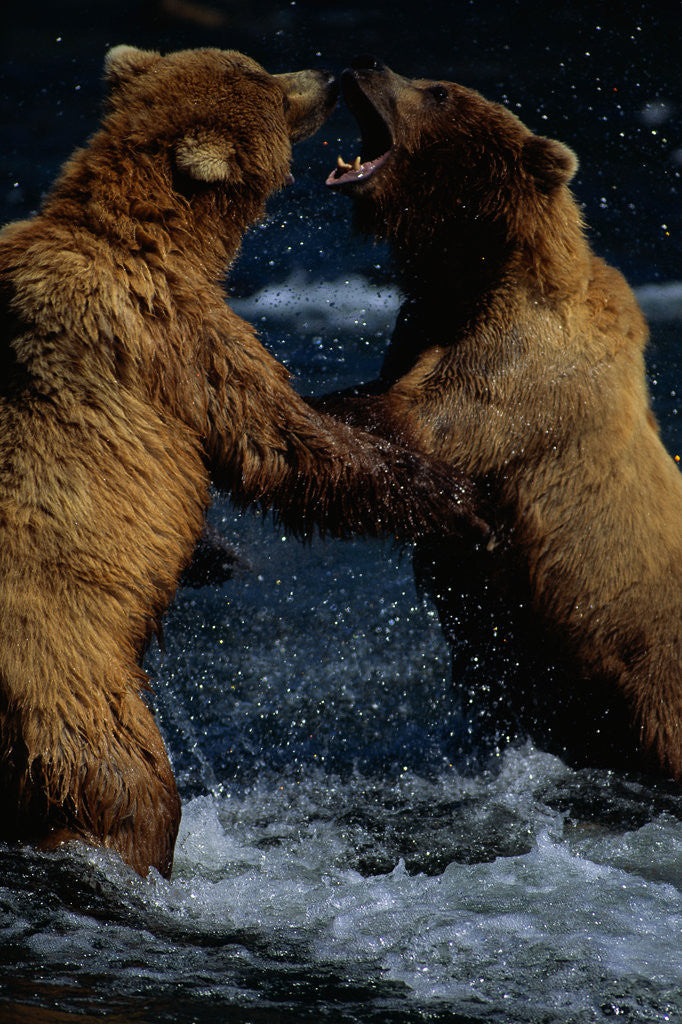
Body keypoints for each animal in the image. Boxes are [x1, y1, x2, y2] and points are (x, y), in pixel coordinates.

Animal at [0, 47, 487, 879]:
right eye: (270, 88)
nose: (328, 79)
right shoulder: (179, 335)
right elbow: (281, 443)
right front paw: (451, 497)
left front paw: (217, 556)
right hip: (67, 683)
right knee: (126, 788)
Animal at [319, 56, 682, 779]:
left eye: (438, 91)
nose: (363, 64)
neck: (471, 267)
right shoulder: (424, 321)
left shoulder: (529, 360)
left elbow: (425, 419)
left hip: (651, 673)